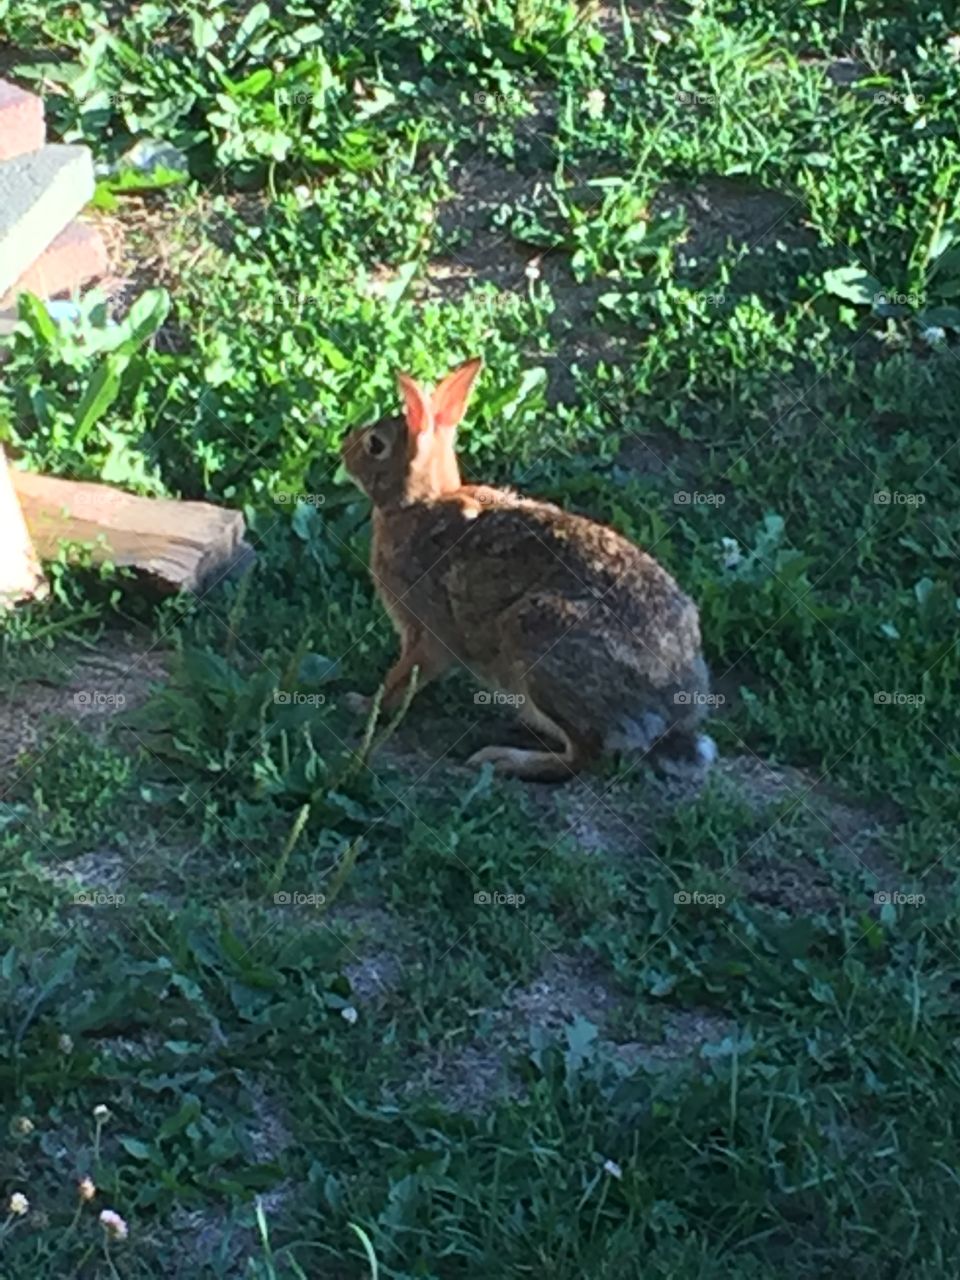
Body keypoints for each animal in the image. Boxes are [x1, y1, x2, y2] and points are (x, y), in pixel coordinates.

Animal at [341, 365, 716, 782]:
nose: (343, 447)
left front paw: (362, 704)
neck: (418, 504)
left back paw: (501, 758)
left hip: (537, 636)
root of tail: (672, 712)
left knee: (584, 756)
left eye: (375, 444)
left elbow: (401, 678)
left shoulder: (428, 634)